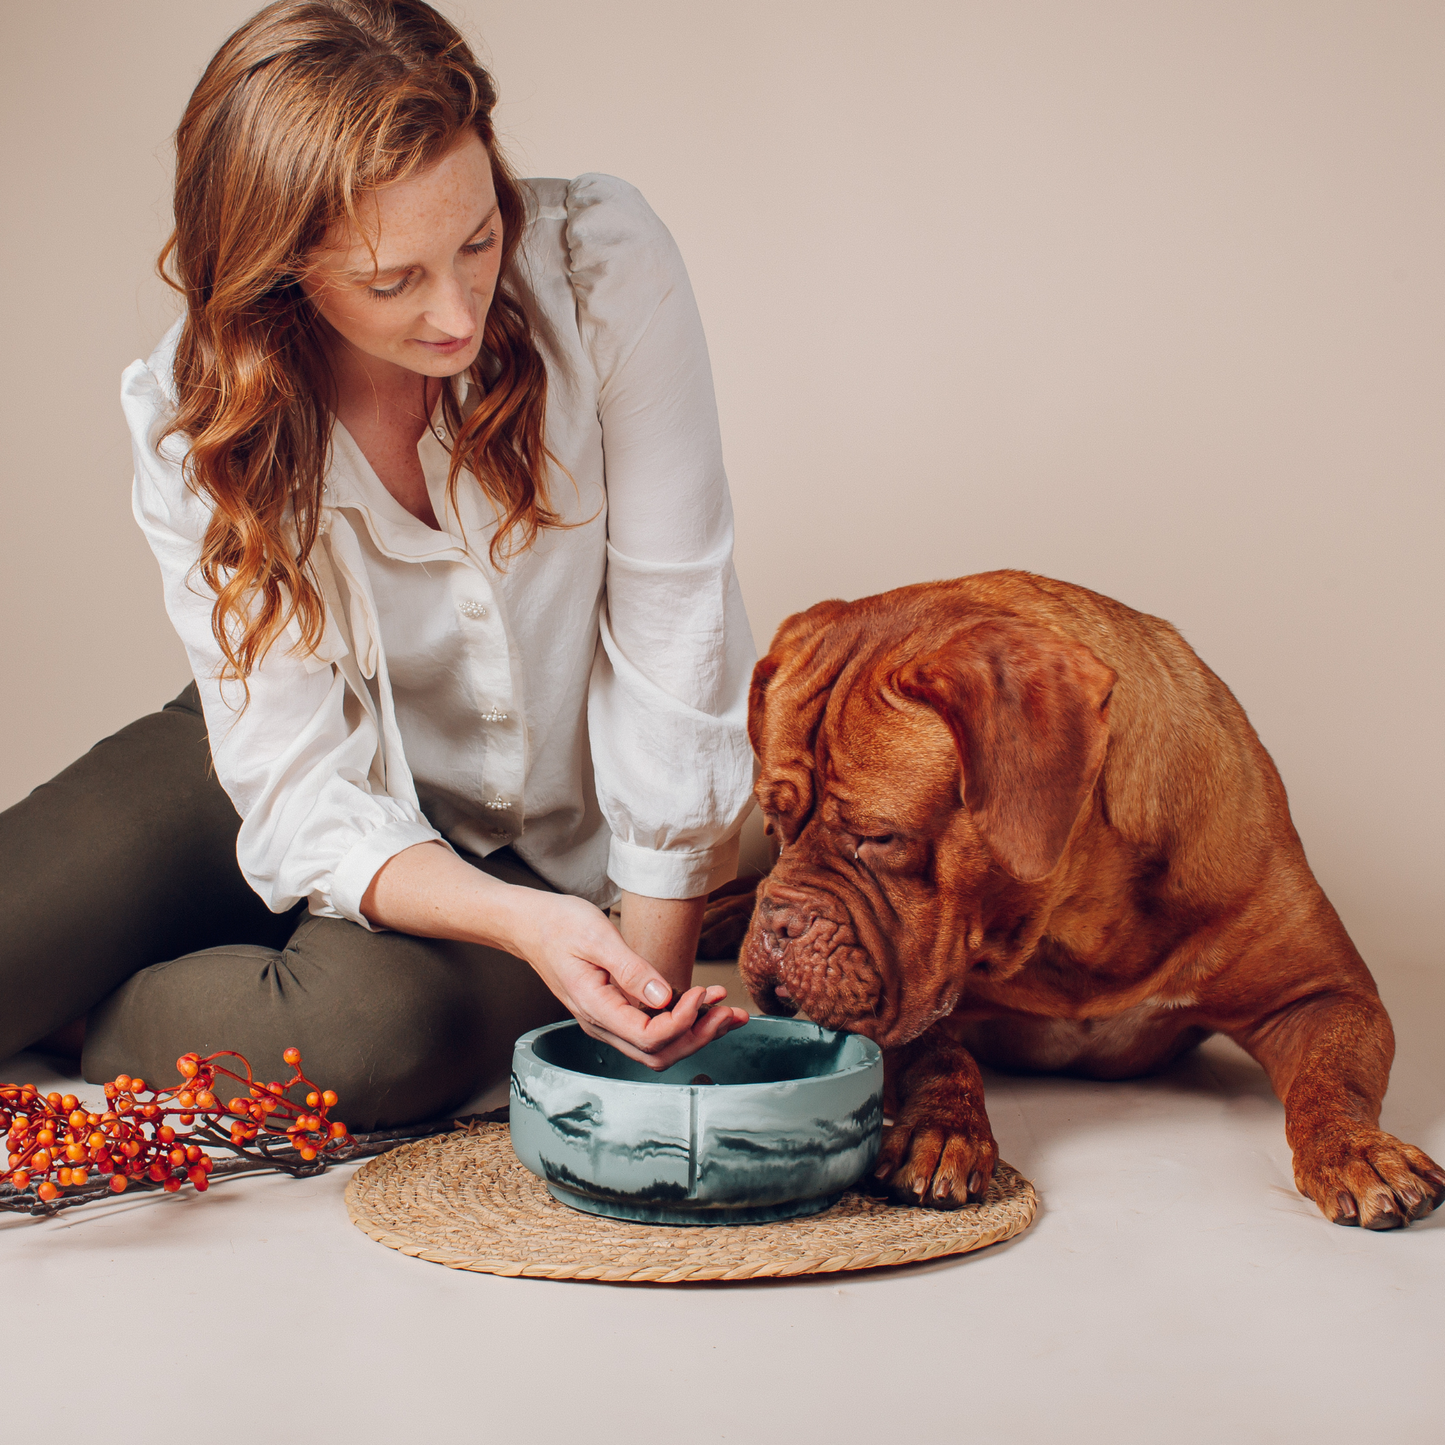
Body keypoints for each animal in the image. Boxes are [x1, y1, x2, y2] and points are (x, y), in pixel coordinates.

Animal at [734, 569, 1445, 1225]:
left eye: (880, 837)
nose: (778, 924)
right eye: (774, 822)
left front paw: (1357, 1149)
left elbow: (1332, 1076)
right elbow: (936, 1055)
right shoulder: (906, 1005)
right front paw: (943, 1131)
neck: (1077, 914)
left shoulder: (1324, 995)